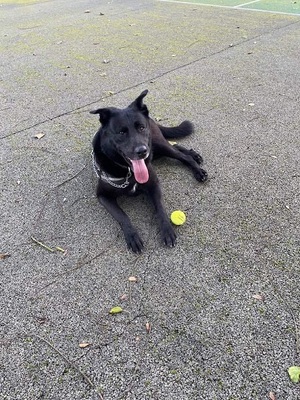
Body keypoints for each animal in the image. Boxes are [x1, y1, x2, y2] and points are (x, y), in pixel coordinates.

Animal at [89, 90, 206, 253]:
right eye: (121, 132)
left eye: (141, 128)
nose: (142, 151)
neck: (128, 173)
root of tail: (150, 117)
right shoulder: (103, 196)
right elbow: (122, 216)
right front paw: (132, 236)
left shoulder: (153, 184)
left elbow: (160, 208)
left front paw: (167, 230)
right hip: (156, 150)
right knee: (176, 147)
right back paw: (194, 155)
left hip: (157, 144)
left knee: (181, 154)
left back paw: (197, 168)